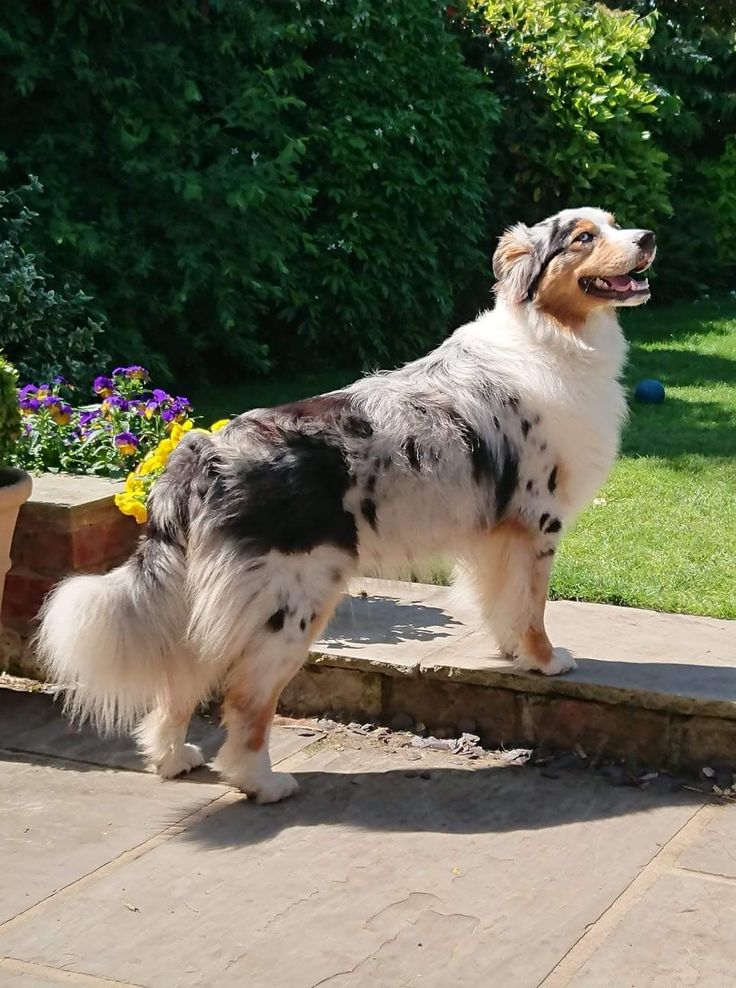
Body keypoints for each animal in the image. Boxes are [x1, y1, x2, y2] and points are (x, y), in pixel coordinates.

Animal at [37, 208, 656, 804]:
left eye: (615, 221)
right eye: (582, 237)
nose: (649, 237)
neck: (551, 333)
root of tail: (204, 451)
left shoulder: (492, 532)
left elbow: (498, 601)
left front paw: (511, 656)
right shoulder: (535, 520)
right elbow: (531, 606)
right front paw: (546, 660)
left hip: (205, 598)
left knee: (184, 674)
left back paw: (171, 758)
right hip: (294, 601)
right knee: (245, 698)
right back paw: (261, 783)